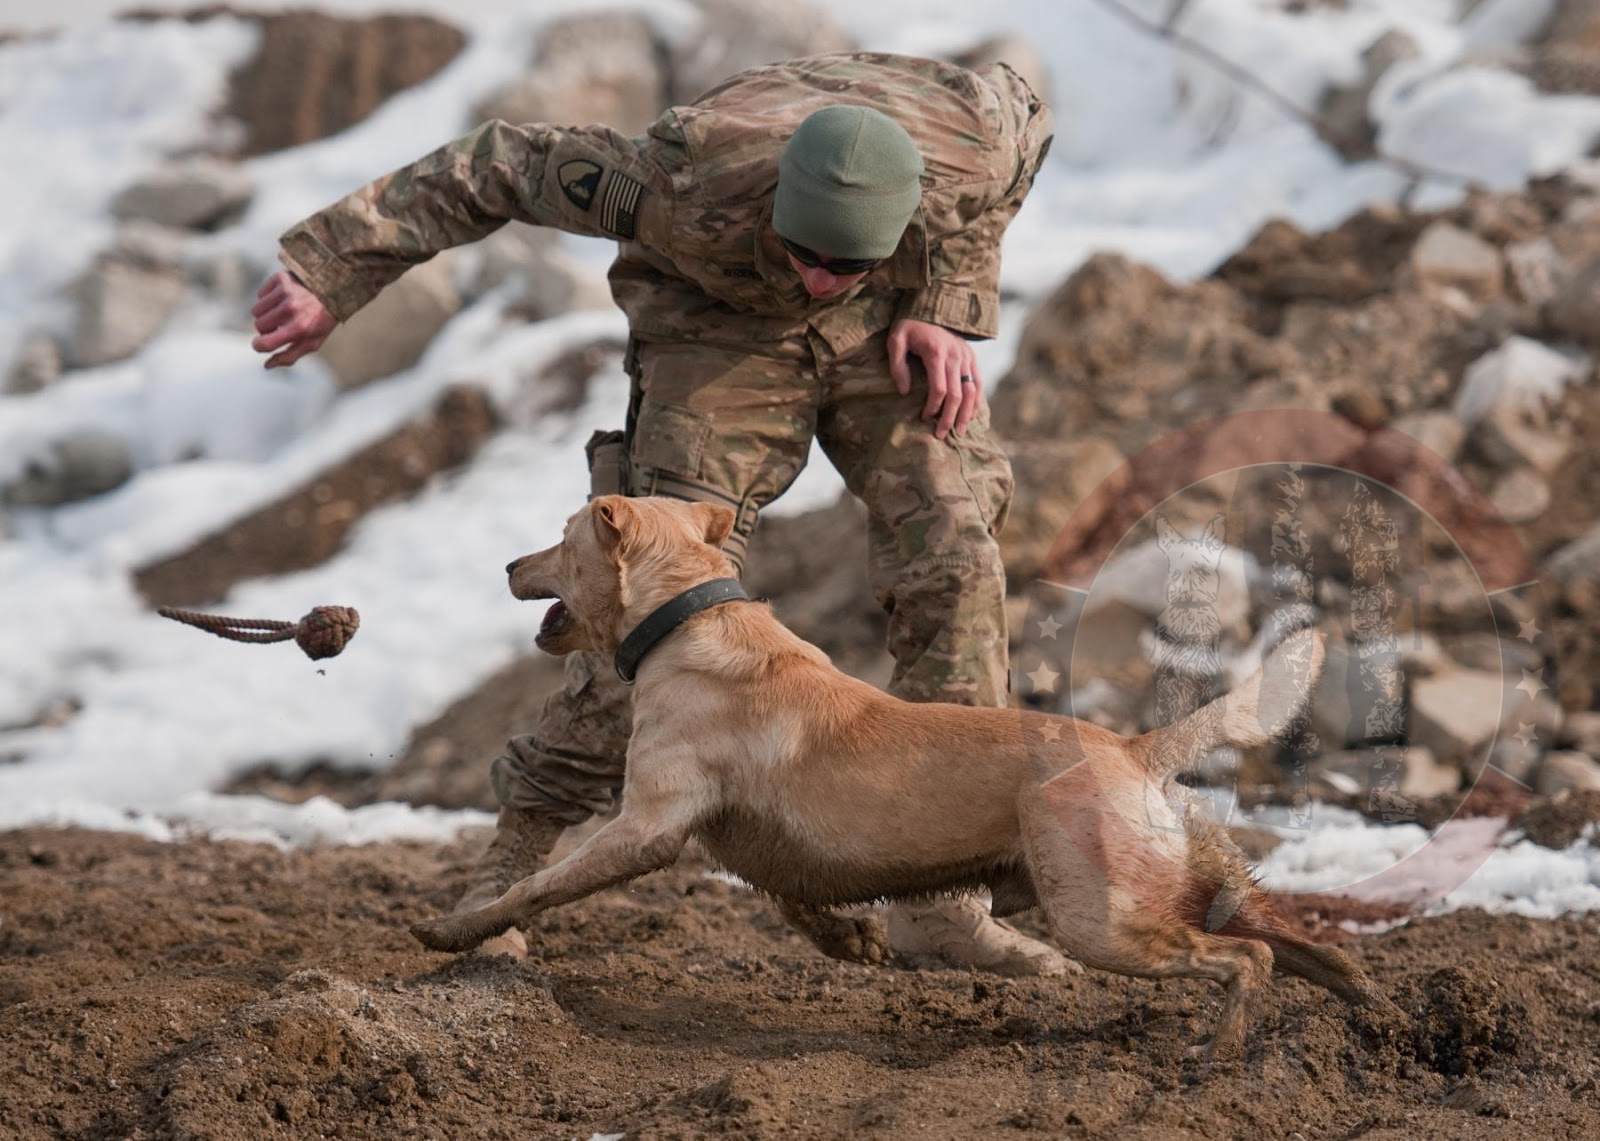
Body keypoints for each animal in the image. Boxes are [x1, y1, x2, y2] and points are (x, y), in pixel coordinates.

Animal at [416, 492, 1401, 1056]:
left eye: (561, 538)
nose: (509, 563)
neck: (686, 617)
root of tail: (1134, 751)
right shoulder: (758, 839)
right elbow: (797, 896)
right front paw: (853, 941)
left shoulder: (649, 824)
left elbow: (539, 886)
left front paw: (455, 929)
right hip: (1194, 881)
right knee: (1305, 944)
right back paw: (1372, 1013)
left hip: (1102, 917)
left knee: (1245, 959)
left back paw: (1221, 1049)